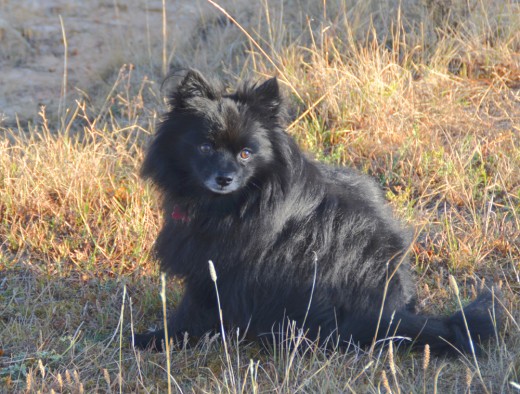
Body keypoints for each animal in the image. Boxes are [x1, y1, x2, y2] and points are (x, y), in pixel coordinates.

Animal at [134, 70, 500, 354]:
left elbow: (191, 312)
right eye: (206, 147)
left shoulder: (214, 270)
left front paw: (157, 339)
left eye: (246, 153)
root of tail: (390, 314)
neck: (233, 201)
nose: (224, 178)